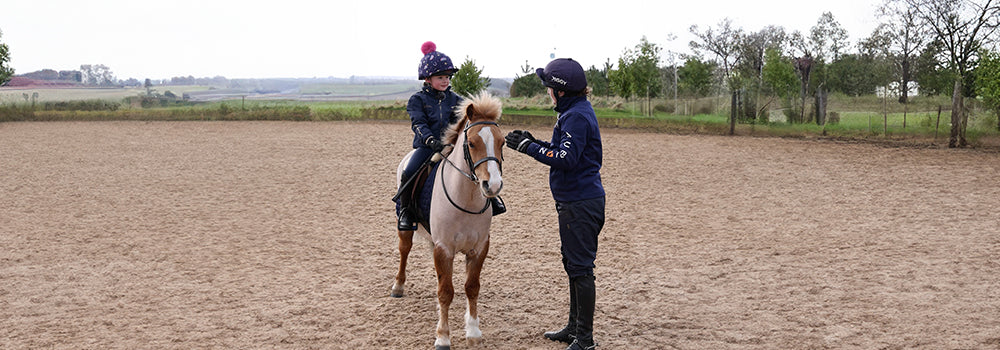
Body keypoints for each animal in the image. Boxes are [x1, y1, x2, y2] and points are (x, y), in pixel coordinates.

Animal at [392, 91, 508, 348]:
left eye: (502, 142)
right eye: (472, 143)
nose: (493, 185)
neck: (466, 198)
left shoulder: (478, 248)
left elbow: (471, 287)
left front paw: (473, 331)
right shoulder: (444, 248)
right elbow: (445, 292)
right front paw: (443, 337)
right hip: (405, 228)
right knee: (404, 250)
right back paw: (398, 286)